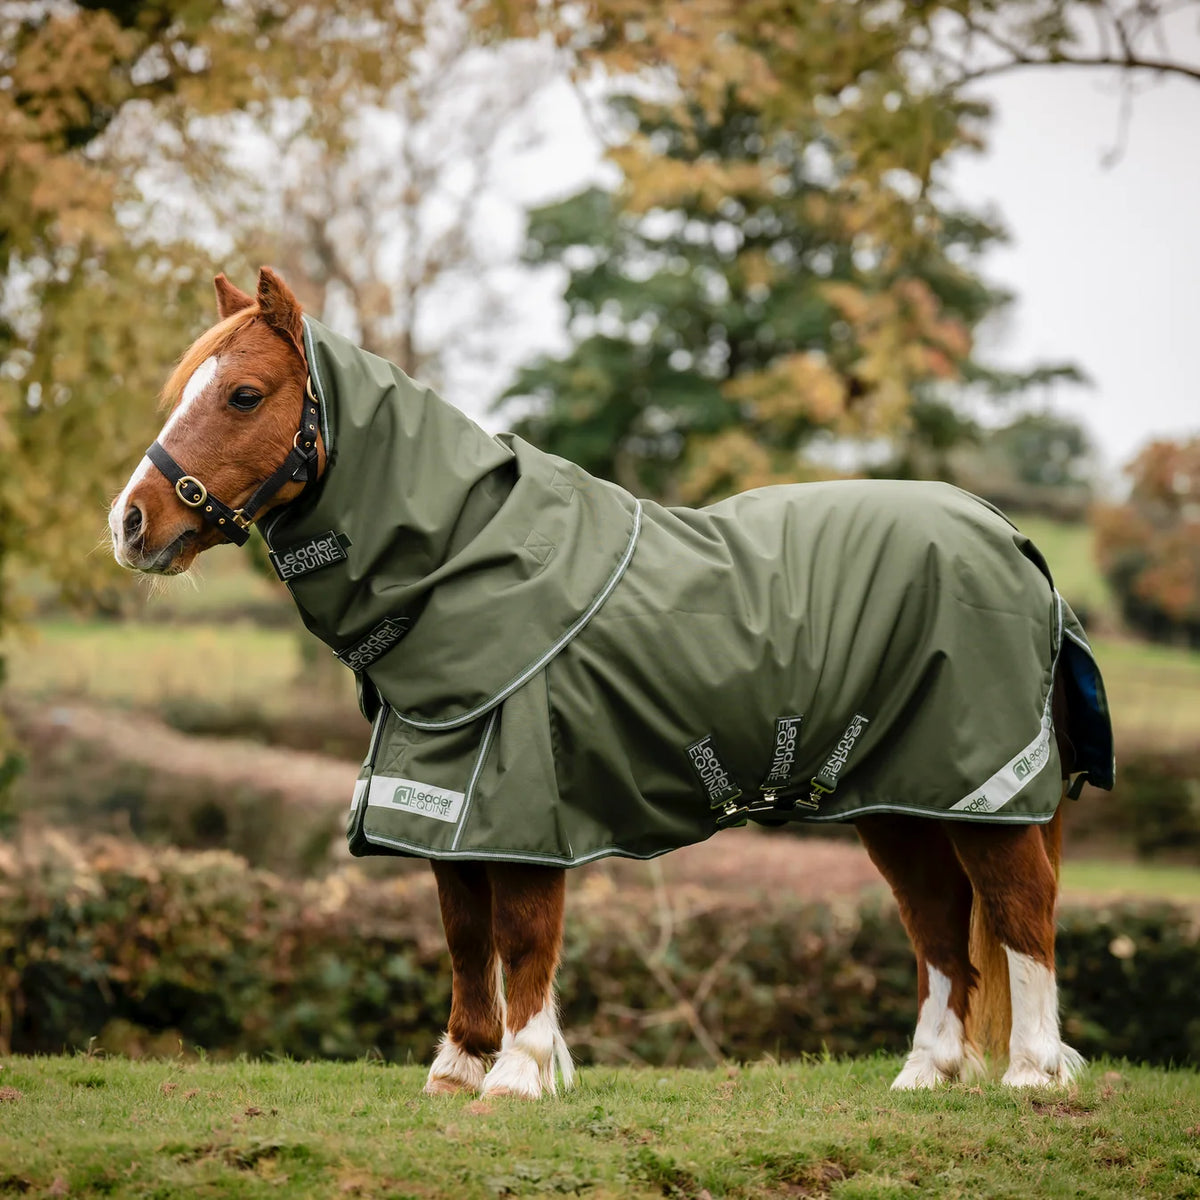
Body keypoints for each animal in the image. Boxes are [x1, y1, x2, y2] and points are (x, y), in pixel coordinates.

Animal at [110, 266, 1113, 1099]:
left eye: (244, 394)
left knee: (1019, 907)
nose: (130, 522)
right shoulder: (440, 798)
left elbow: (521, 929)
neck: (464, 561)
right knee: (940, 922)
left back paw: (1032, 1071)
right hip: (895, 799)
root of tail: (1014, 540)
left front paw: (518, 1073)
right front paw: (462, 1068)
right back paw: (925, 1073)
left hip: (980, 788)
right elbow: (467, 933)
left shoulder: (520, 797)